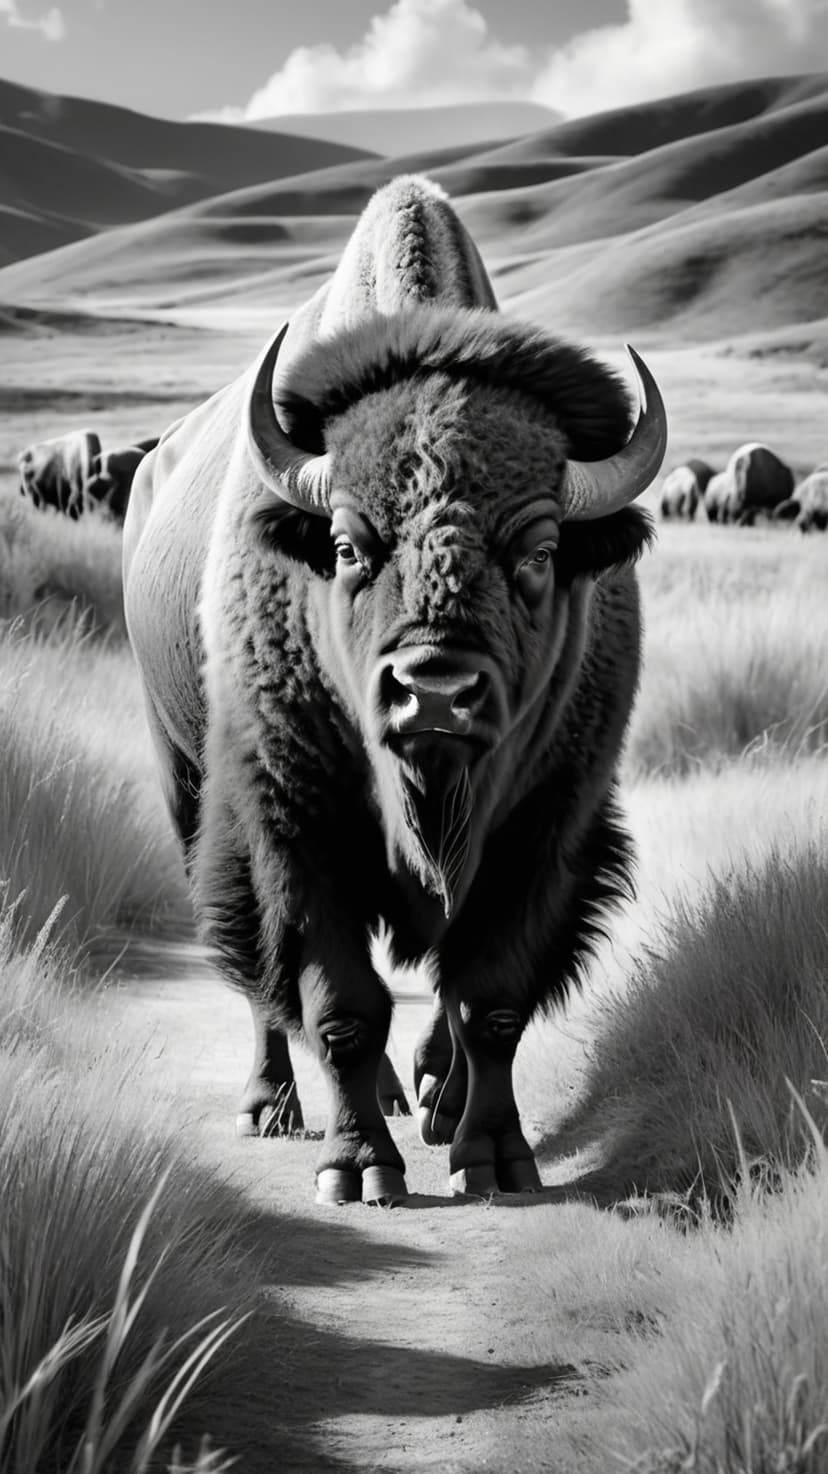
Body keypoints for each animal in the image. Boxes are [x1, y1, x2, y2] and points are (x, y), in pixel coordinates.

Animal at [123, 175, 667, 1206]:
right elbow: (340, 1002)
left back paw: (433, 1100)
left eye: (541, 551)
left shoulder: (545, 831)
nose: (436, 692)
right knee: (266, 991)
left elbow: (488, 1000)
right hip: (185, 778)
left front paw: (494, 1158)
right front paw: (359, 1169)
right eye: (344, 545)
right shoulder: (294, 826)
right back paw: (274, 1107)